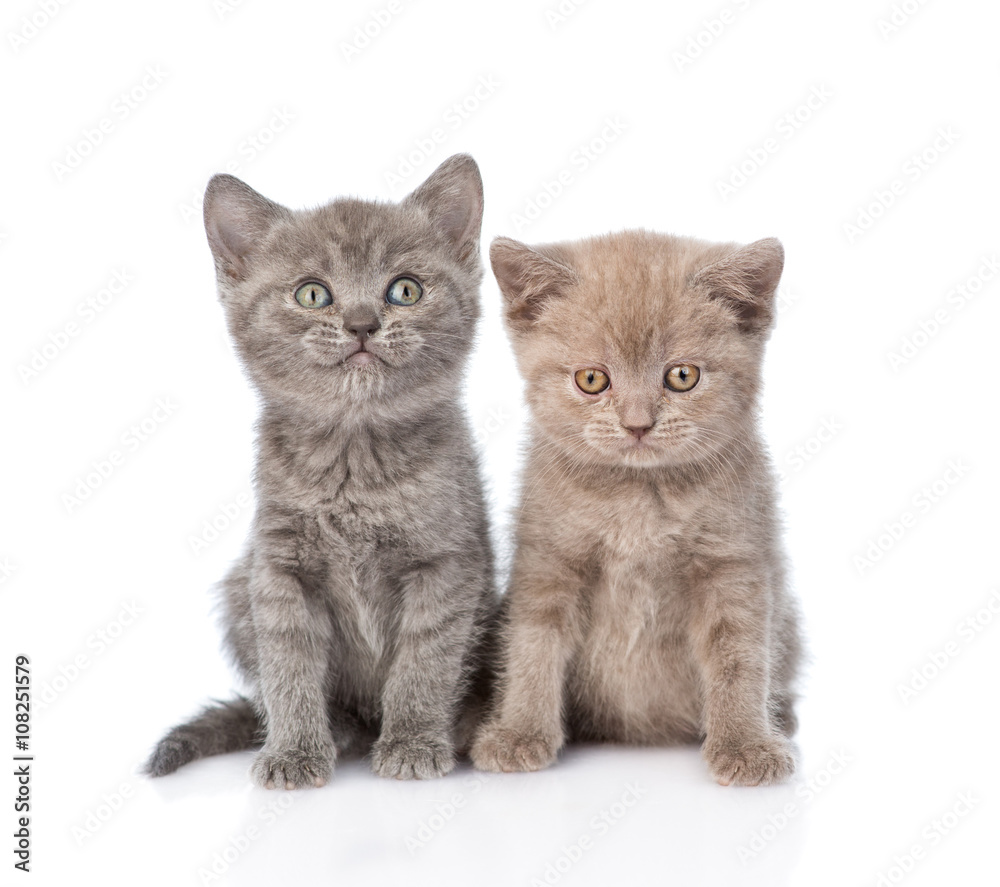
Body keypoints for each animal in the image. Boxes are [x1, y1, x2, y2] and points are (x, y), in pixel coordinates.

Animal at [146, 154, 496, 792]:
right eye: (313, 293)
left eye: (405, 290)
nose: (361, 323)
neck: (355, 462)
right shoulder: (279, 570)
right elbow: (288, 665)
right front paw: (294, 752)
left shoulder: (446, 564)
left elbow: (426, 659)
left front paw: (412, 742)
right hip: (237, 592)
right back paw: (339, 732)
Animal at [470, 231, 804, 792]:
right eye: (591, 379)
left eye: (682, 376)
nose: (638, 423)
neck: (638, 499)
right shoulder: (547, 559)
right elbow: (533, 645)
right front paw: (518, 732)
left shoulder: (733, 561)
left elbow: (739, 655)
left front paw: (745, 743)